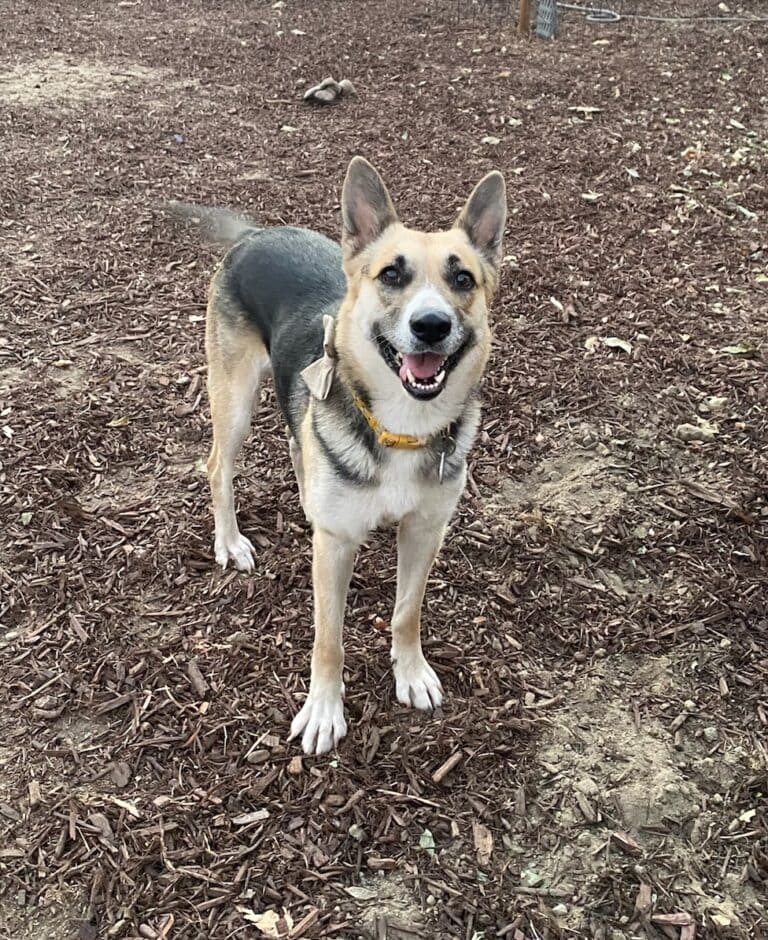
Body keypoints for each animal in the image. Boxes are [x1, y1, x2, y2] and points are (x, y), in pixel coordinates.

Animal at [171, 158, 508, 752]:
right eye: (392, 275)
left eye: (462, 279)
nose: (431, 325)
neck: (401, 428)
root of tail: (257, 233)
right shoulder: (334, 550)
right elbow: (328, 640)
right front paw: (324, 711)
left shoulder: (425, 530)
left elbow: (406, 613)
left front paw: (410, 673)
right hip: (233, 398)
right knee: (218, 468)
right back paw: (229, 541)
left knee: (295, 439)